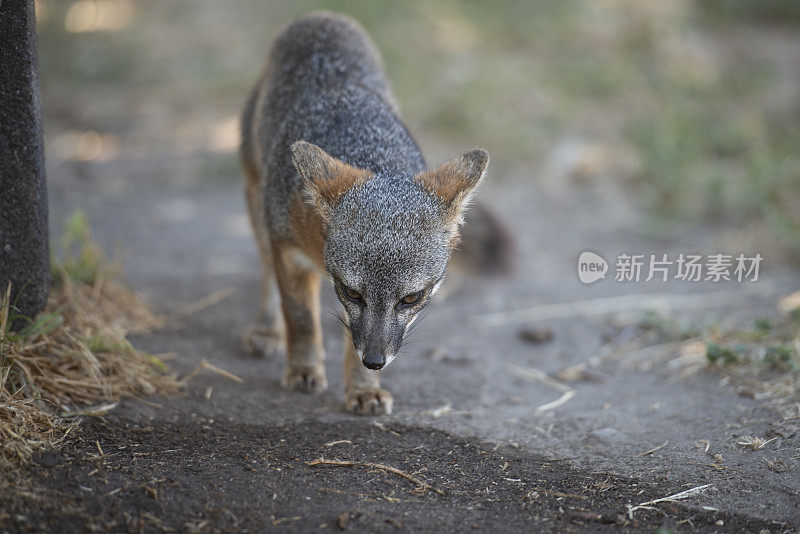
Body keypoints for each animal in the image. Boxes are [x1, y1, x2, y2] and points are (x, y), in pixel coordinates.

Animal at [241, 10, 510, 416]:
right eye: (352, 292)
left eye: (412, 298)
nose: (375, 361)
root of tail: (321, 16)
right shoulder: (287, 249)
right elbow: (302, 320)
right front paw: (304, 370)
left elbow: (351, 339)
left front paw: (363, 387)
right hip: (257, 202)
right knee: (268, 274)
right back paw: (269, 328)